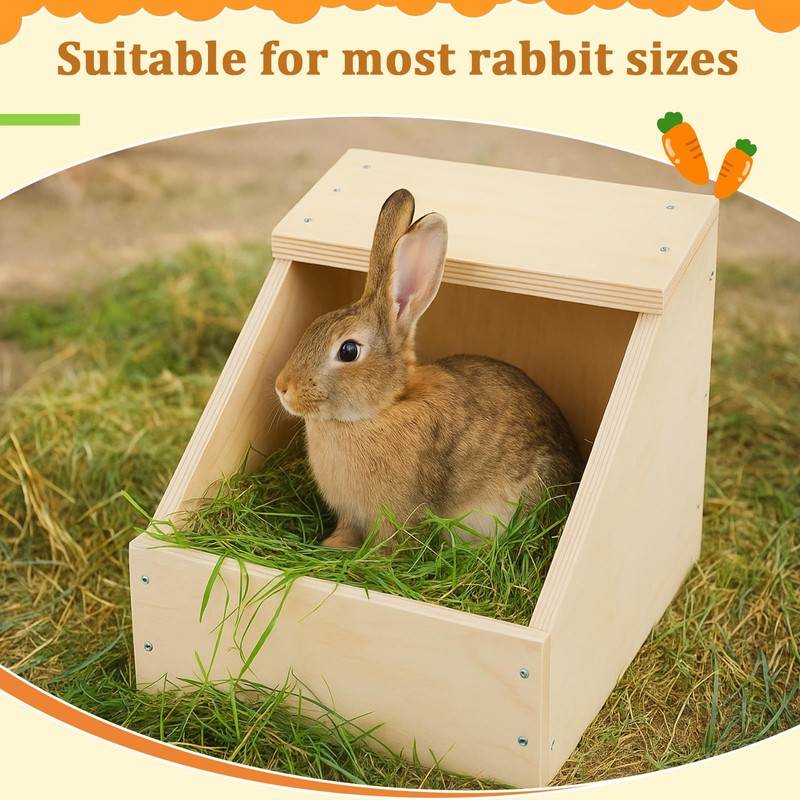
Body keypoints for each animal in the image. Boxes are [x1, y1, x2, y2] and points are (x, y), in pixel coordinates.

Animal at [274, 188, 583, 550]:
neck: (381, 409)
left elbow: (392, 544)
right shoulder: (350, 514)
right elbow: (346, 531)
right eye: (314, 324)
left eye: (348, 350)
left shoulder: (397, 515)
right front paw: (331, 546)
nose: (283, 388)